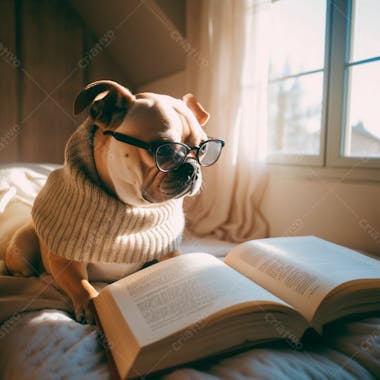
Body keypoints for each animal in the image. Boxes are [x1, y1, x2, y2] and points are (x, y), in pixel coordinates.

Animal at [5, 80, 224, 324]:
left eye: (203, 150)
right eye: (165, 150)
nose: (193, 169)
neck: (134, 208)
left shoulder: (169, 251)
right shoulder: (64, 258)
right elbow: (82, 285)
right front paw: (92, 306)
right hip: (21, 246)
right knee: (25, 270)